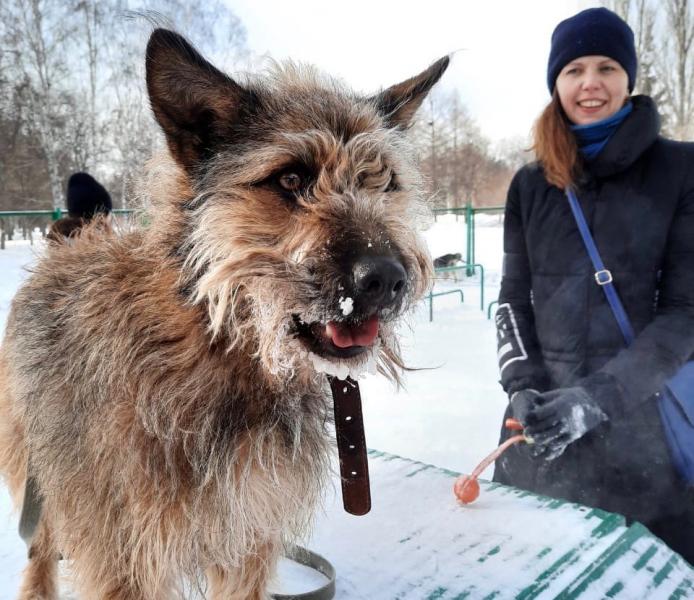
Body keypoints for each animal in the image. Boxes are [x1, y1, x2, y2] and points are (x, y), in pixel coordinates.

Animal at [0, 29, 448, 600]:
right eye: (291, 178)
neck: (219, 344)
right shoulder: (123, 553)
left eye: (386, 181)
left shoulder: (249, 540)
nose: (389, 280)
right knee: (39, 550)